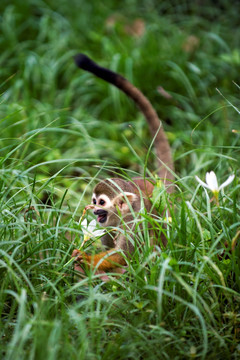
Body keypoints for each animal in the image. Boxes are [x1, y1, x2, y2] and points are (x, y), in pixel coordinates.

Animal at [71, 54, 174, 272]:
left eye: (101, 202)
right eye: (94, 201)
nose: (93, 210)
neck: (121, 217)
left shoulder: (136, 223)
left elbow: (122, 255)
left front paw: (84, 258)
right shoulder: (107, 224)